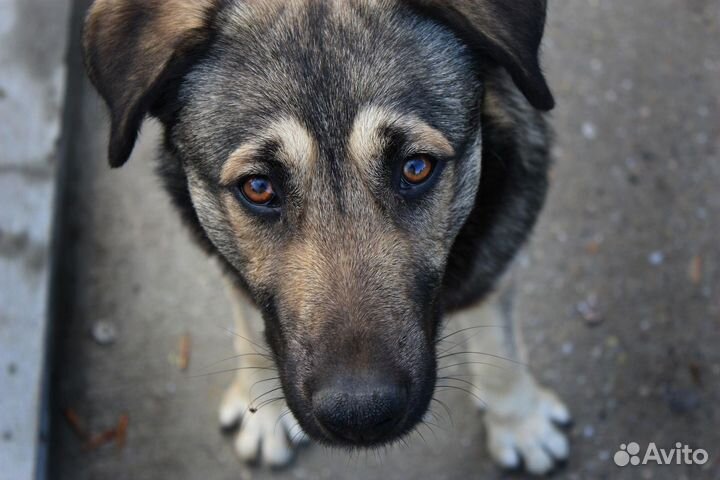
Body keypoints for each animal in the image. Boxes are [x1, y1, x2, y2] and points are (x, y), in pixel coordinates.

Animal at [81, 0, 572, 472]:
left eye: (416, 167)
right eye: (258, 187)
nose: (361, 416)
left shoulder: (498, 247)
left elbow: (500, 343)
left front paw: (520, 422)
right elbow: (250, 321)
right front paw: (262, 407)